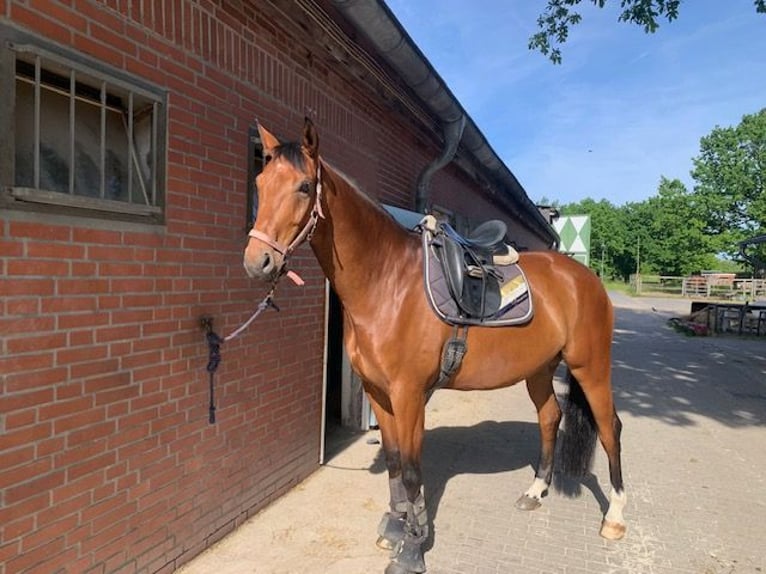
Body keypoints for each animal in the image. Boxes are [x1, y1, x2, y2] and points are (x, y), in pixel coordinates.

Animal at [243, 118, 628, 574]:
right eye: (260, 181)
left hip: (591, 366)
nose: (257, 262)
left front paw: (412, 548)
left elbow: (412, 471)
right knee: (550, 417)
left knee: (610, 427)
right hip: (539, 368)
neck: (387, 283)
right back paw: (535, 492)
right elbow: (394, 461)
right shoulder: (378, 393)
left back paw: (615, 518)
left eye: (304, 186)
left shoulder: (409, 394)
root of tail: (585, 278)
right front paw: (395, 529)